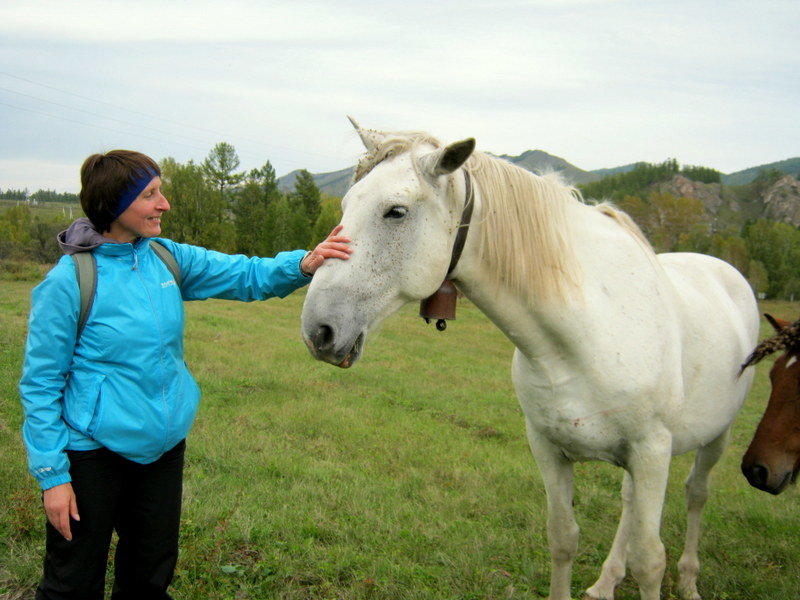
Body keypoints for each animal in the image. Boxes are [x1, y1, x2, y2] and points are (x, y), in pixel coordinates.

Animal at [300, 120, 756, 600]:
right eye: (346, 204)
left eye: (396, 212)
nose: (318, 331)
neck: (585, 331)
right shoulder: (550, 448)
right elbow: (563, 538)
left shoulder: (651, 451)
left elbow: (650, 561)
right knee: (631, 504)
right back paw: (606, 581)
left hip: (714, 438)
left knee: (696, 494)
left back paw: (688, 580)